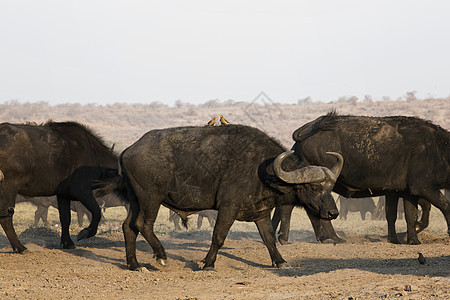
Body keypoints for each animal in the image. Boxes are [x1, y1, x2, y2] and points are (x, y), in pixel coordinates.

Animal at [0, 120, 118, 252]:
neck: (94, 155)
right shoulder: (82, 191)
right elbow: (96, 212)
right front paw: (85, 233)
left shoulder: (63, 195)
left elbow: (65, 218)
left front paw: (67, 243)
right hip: (8, 187)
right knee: (5, 216)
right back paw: (20, 247)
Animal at [96, 124, 342, 270]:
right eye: (313, 187)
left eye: (330, 188)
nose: (333, 213)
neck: (262, 171)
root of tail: (129, 150)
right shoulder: (227, 208)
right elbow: (218, 237)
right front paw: (208, 263)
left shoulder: (261, 213)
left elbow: (269, 239)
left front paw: (280, 261)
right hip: (150, 199)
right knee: (143, 224)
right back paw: (161, 255)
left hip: (135, 201)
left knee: (129, 227)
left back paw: (134, 264)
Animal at [272, 111, 450, 245]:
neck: (438, 148)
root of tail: (310, 128)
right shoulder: (423, 187)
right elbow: (443, 206)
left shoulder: (403, 191)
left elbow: (405, 215)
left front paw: (408, 239)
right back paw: (327, 238)